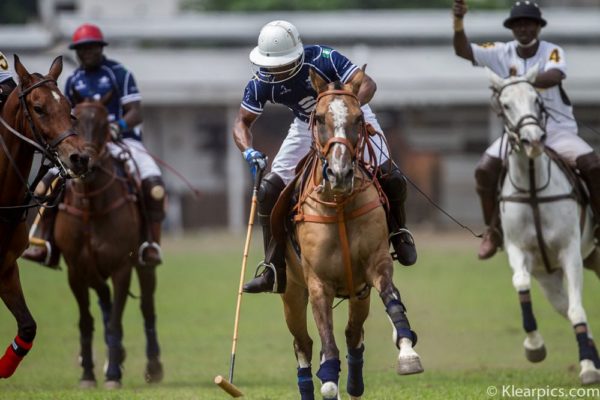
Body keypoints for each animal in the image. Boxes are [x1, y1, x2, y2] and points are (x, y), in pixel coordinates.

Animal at [52, 96, 162, 388]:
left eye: (104, 126)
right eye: (73, 119)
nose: (83, 162)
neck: (91, 206)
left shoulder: (121, 267)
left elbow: (114, 321)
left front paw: (112, 374)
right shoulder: (75, 270)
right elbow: (87, 320)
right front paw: (88, 373)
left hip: (145, 264)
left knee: (147, 307)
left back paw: (153, 367)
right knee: (105, 303)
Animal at [282, 69, 422, 400]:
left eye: (359, 119)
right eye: (319, 118)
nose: (340, 174)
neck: (339, 204)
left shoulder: (376, 265)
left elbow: (393, 302)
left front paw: (407, 352)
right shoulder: (318, 283)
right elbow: (327, 350)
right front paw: (329, 380)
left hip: (359, 294)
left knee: (352, 334)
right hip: (291, 293)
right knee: (304, 344)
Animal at [490, 67, 600, 386]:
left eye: (537, 101)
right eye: (505, 105)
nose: (534, 141)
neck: (533, 189)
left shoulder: (570, 252)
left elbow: (577, 308)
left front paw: (587, 368)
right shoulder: (520, 251)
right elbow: (521, 284)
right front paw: (534, 346)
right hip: (550, 277)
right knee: (564, 306)